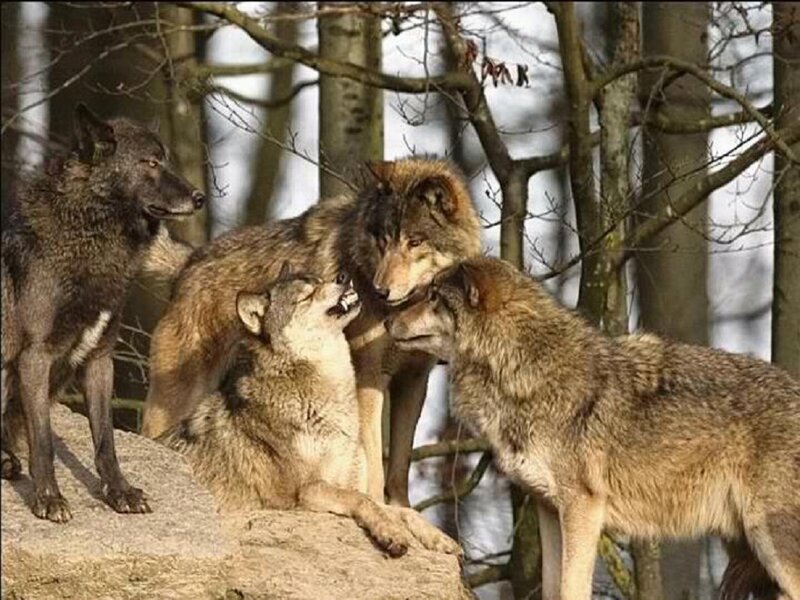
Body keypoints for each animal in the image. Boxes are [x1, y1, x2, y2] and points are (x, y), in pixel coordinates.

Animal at [1, 104, 205, 522]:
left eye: (167, 159)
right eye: (150, 162)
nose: (200, 198)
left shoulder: (100, 357)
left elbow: (105, 440)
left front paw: (119, 492)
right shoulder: (35, 357)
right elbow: (43, 442)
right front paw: (48, 498)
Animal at [140, 158, 482, 505]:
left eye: (414, 242)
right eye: (383, 241)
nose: (379, 290)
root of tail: (189, 262)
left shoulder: (413, 381)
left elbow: (399, 467)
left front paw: (402, 509)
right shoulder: (369, 377)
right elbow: (372, 463)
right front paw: (374, 503)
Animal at [158, 263, 461, 558]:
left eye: (318, 280)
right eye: (306, 296)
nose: (343, 276)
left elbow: (402, 510)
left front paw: (439, 538)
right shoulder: (304, 491)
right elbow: (363, 500)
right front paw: (391, 533)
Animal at [386, 256, 800, 600]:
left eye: (433, 295)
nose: (387, 320)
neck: (523, 371)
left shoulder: (582, 508)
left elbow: (572, 589)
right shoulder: (548, 508)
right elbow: (553, 589)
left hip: (771, 543)